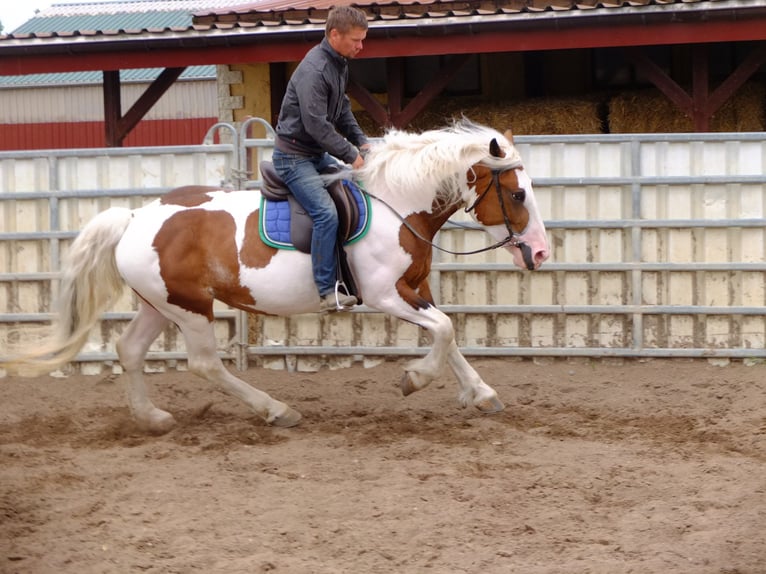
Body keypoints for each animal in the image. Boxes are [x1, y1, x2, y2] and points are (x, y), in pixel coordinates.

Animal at [1, 122, 552, 436]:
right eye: (518, 194)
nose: (541, 252)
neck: (397, 204)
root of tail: (136, 217)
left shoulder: (417, 289)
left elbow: (449, 335)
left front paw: (481, 394)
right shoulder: (385, 294)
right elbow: (443, 331)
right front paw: (414, 380)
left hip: (161, 305)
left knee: (130, 350)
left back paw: (153, 419)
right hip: (191, 309)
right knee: (205, 365)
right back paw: (275, 410)